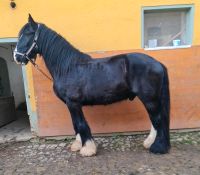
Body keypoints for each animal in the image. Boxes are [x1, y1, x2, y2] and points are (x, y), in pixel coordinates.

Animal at [14, 15, 170, 157]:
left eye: (27, 34)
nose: (16, 57)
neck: (68, 67)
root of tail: (157, 63)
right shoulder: (71, 105)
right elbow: (75, 124)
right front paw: (78, 145)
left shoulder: (73, 103)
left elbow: (80, 124)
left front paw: (87, 149)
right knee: (155, 120)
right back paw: (150, 143)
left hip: (150, 99)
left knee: (158, 119)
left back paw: (158, 147)